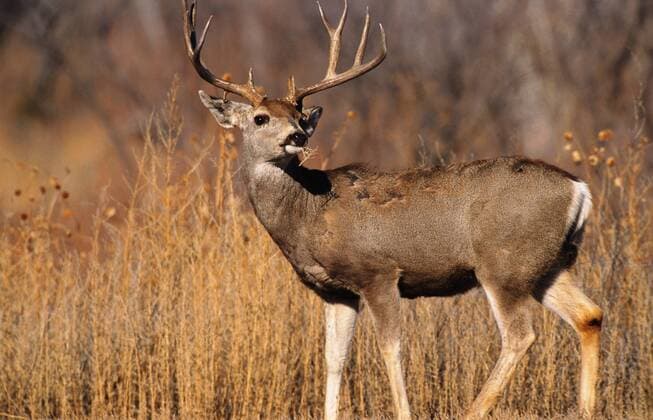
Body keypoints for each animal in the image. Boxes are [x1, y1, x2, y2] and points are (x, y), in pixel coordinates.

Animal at [181, 1, 603, 418]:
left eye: (300, 117)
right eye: (260, 118)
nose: (298, 136)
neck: (309, 215)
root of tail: (578, 188)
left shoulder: (378, 272)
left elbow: (390, 349)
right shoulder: (335, 291)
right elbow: (335, 358)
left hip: (503, 264)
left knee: (520, 335)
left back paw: (473, 410)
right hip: (546, 265)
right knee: (589, 314)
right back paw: (585, 408)